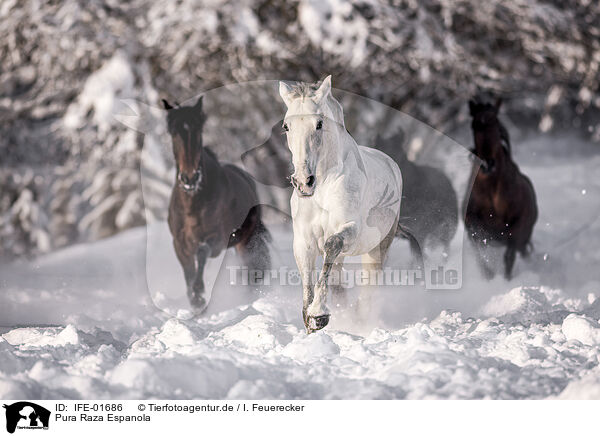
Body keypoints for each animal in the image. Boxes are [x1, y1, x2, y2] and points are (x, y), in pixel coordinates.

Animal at [162, 97, 270, 312]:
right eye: (174, 133)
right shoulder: (179, 244)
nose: (190, 178)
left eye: (198, 132)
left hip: (245, 241)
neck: (192, 206)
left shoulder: (216, 241)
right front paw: (194, 300)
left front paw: (199, 296)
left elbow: (202, 255)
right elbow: (188, 271)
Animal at [278, 76, 404, 334]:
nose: (303, 182)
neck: (322, 189)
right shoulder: (303, 240)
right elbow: (308, 280)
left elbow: (332, 244)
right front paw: (310, 320)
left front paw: (319, 313)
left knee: (368, 289)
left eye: (319, 124)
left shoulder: (349, 230)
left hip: (377, 248)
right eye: (286, 126)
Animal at [464, 98, 540, 280]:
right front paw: (488, 276)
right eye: (474, 125)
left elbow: (509, 258)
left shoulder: (516, 228)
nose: (487, 164)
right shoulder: (472, 222)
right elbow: (480, 251)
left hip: (523, 238)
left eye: (495, 122)